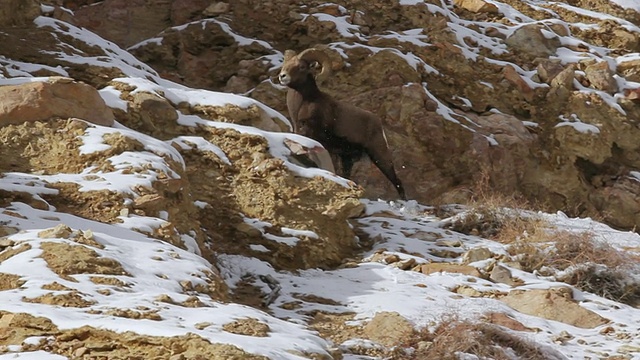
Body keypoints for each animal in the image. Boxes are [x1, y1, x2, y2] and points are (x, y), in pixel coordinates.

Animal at [278, 47, 404, 200]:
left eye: (301, 67)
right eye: (286, 64)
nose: (283, 76)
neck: (303, 104)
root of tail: (378, 124)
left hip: (379, 155)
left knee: (397, 182)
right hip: (347, 159)